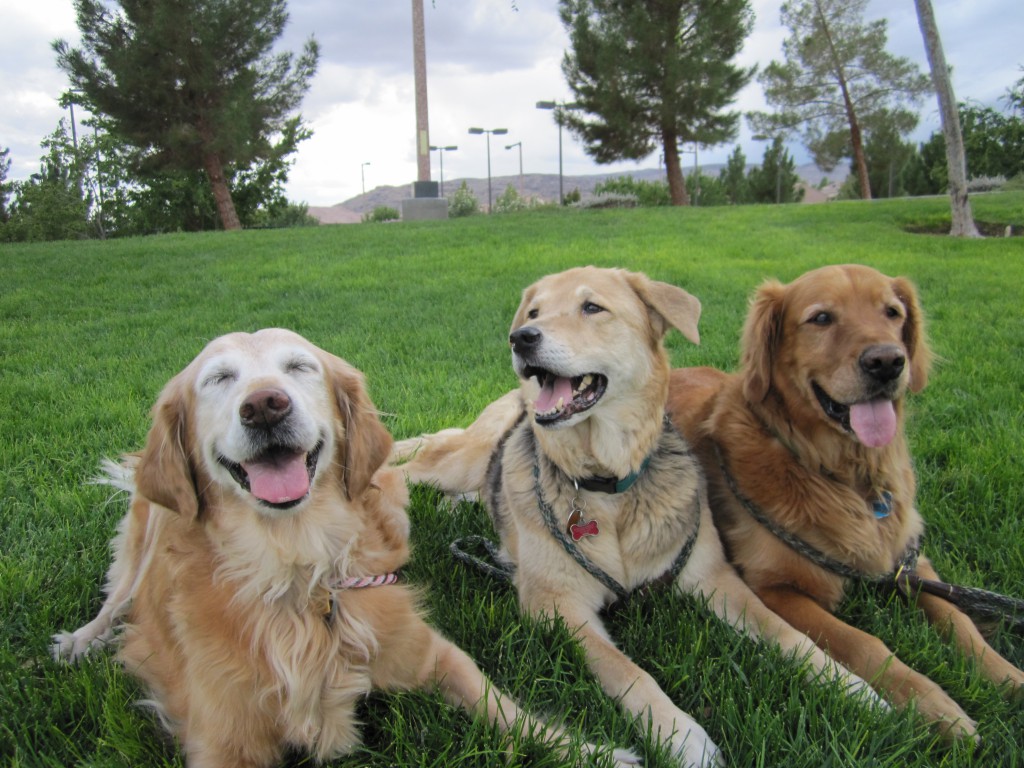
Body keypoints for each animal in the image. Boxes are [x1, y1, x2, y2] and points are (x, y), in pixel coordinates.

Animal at [391, 268, 880, 765]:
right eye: (534, 311)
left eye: (592, 308)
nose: (521, 338)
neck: (608, 485)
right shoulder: (557, 607)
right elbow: (627, 670)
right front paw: (681, 735)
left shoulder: (715, 580)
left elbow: (787, 634)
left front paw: (852, 685)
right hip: (457, 461)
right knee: (403, 469)